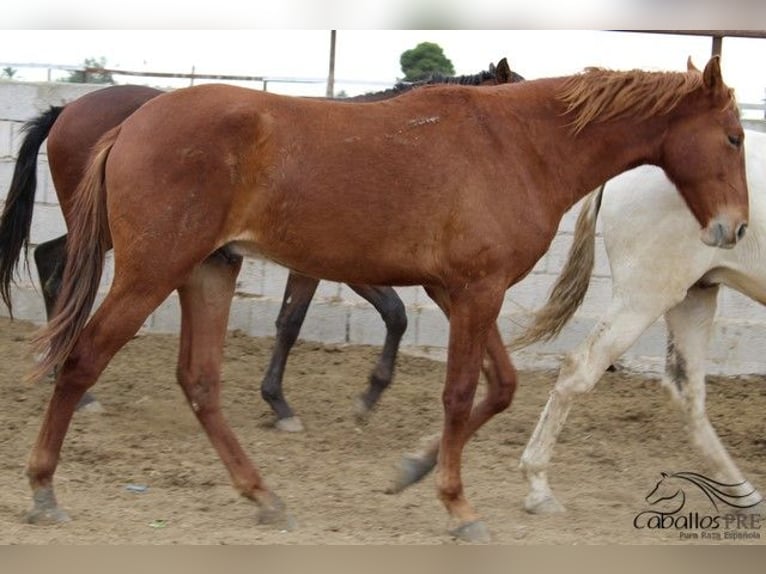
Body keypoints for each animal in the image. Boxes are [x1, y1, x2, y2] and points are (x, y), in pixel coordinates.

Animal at [0, 58, 520, 430]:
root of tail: (66, 110)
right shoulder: (329, 264)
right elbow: (316, 320)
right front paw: (293, 403)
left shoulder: (334, 263)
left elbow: (354, 317)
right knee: (57, 268)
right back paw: (73, 384)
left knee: (50, 259)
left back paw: (61, 372)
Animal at [516, 128, 766, 516]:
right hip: (644, 296)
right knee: (580, 367)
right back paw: (539, 488)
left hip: (693, 295)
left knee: (686, 391)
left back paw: (746, 498)